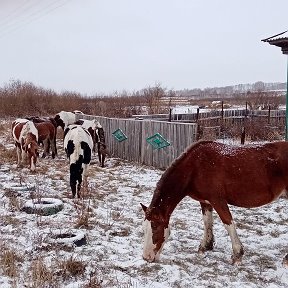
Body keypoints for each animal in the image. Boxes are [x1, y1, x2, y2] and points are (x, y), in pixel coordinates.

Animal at [142, 141, 288, 264]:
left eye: (155, 227)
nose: (146, 257)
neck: (195, 167)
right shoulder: (205, 201)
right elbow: (207, 222)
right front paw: (205, 246)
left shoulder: (218, 200)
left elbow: (228, 223)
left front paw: (237, 254)